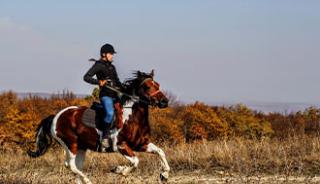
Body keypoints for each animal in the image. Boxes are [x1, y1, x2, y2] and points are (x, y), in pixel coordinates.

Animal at [27, 69, 170, 183]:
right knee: (70, 165)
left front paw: (164, 175)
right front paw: (119, 170)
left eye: (157, 85)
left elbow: (160, 152)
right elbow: (135, 161)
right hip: (71, 144)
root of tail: (56, 116)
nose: (165, 102)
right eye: (147, 86)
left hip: (81, 147)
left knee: (76, 167)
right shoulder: (121, 145)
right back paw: (88, 180)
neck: (132, 116)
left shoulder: (141, 144)